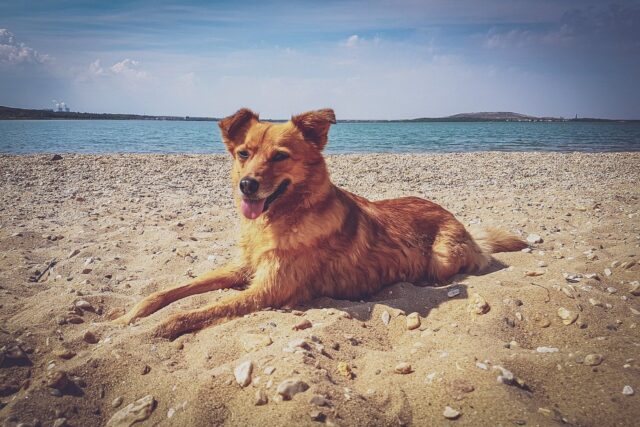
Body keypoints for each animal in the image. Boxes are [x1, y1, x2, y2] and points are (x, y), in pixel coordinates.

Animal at [117, 108, 528, 340]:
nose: (246, 185)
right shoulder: (244, 268)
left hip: (442, 257)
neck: (281, 218)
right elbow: (175, 290)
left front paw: (160, 328)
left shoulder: (268, 289)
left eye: (280, 156)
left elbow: (200, 310)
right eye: (243, 153)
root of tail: (461, 223)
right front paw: (132, 314)